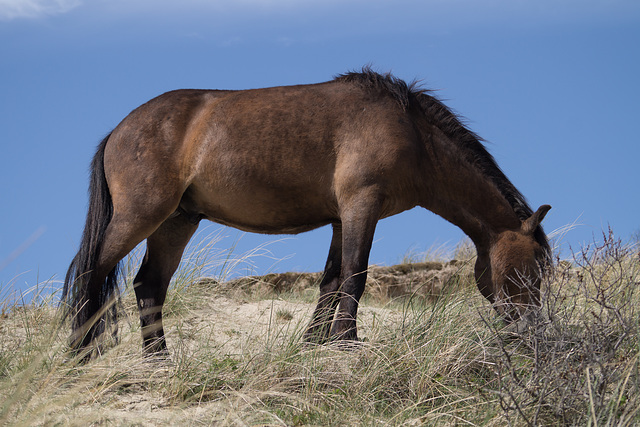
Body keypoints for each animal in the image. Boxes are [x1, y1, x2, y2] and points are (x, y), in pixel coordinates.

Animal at [61, 69, 552, 358]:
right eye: (532, 272)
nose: (532, 334)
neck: (411, 131)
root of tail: (118, 130)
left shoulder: (341, 217)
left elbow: (332, 281)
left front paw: (315, 344)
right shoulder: (361, 206)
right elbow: (355, 274)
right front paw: (347, 342)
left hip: (176, 222)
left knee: (150, 285)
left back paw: (159, 361)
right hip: (141, 215)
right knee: (93, 271)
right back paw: (79, 353)